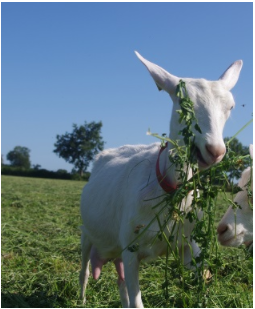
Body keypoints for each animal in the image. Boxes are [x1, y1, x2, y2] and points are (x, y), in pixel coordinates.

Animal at [79, 51, 243, 306]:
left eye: (230, 107)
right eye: (182, 102)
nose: (215, 151)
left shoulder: (188, 246)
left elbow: (202, 279)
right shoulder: (131, 248)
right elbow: (137, 301)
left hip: (116, 246)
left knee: (120, 281)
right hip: (87, 232)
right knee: (85, 270)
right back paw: (82, 299)